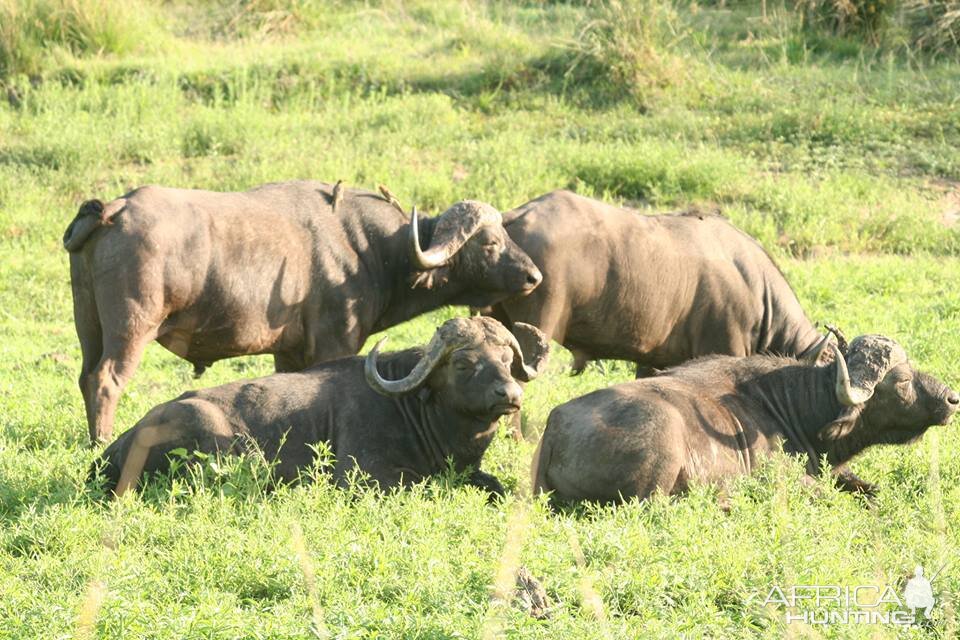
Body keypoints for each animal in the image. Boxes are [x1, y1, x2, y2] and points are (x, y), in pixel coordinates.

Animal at [63, 180, 544, 442]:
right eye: (490, 242)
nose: (534, 276)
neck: (367, 246)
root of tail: (113, 209)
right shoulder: (335, 344)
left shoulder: (288, 353)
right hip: (131, 328)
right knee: (106, 381)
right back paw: (100, 440)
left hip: (88, 326)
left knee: (86, 377)